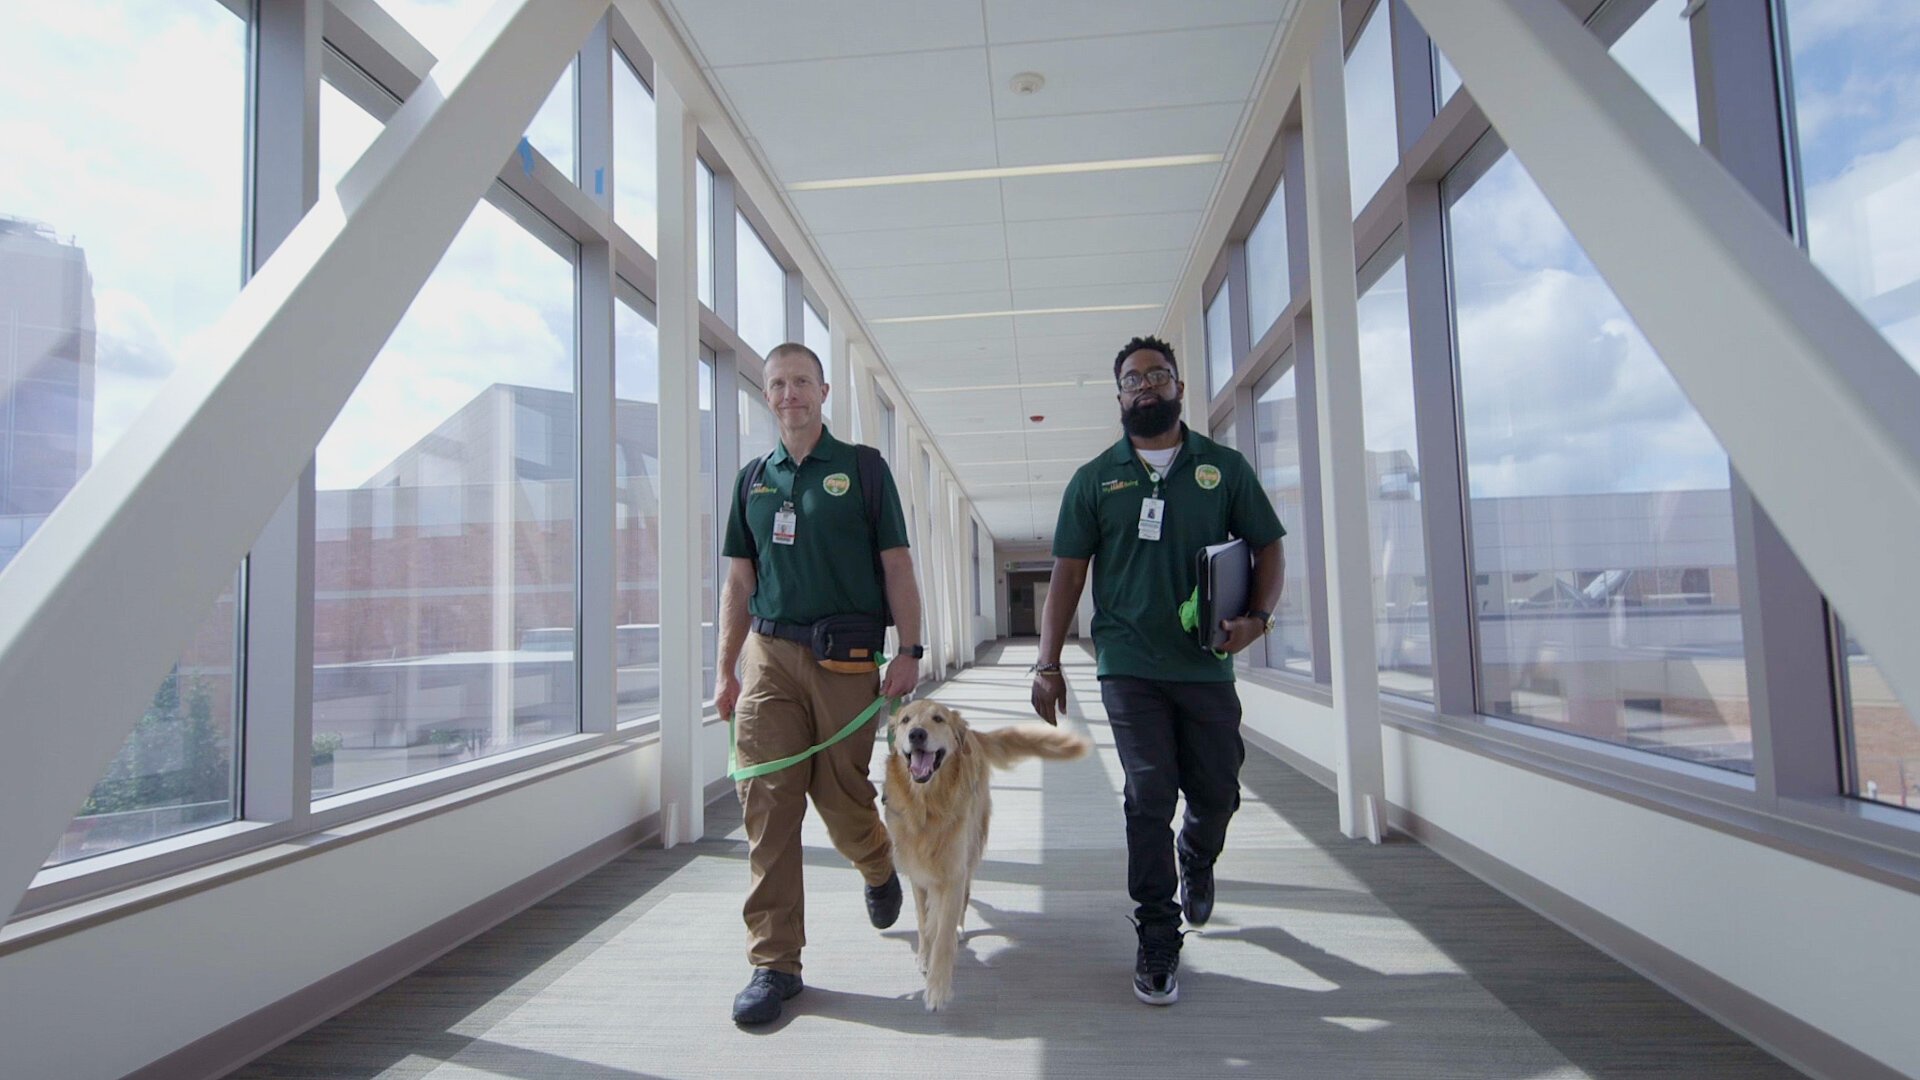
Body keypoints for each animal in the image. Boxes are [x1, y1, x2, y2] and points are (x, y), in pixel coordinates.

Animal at [879, 699, 1090, 1006]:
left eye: (938, 719)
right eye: (906, 720)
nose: (917, 734)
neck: (927, 805)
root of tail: (974, 736)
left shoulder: (954, 871)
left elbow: (944, 933)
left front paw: (938, 988)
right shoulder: (918, 873)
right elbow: (923, 920)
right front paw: (924, 956)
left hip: (972, 846)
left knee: (964, 898)